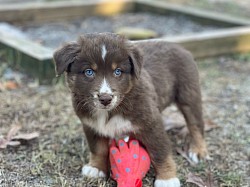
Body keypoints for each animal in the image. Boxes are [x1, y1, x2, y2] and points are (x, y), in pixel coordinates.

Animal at [53, 32, 208, 186]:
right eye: (89, 72)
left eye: (118, 71)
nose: (105, 99)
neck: (109, 111)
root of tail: (179, 47)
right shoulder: (91, 125)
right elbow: (97, 149)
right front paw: (96, 168)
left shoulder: (152, 124)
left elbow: (160, 151)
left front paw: (166, 179)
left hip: (189, 95)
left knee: (196, 124)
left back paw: (198, 150)